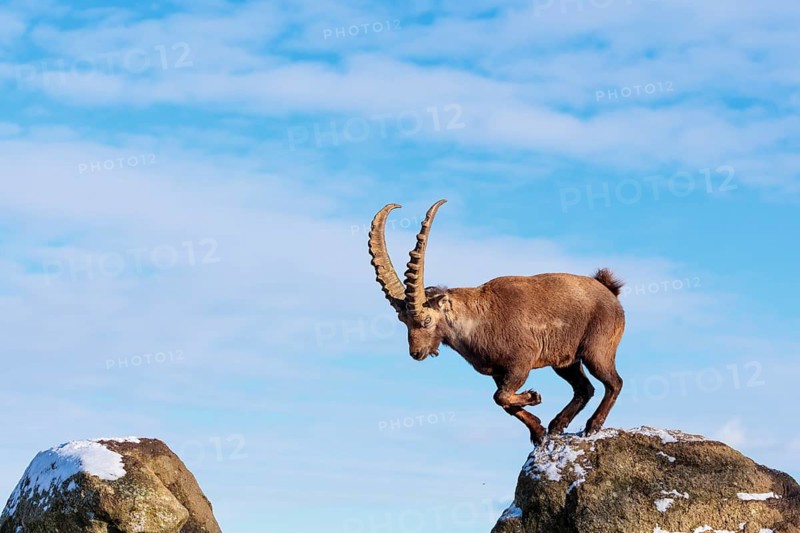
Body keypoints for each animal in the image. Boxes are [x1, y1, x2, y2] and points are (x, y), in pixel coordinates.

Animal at [368, 200, 625, 444]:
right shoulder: (498, 372)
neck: (477, 321)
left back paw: (592, 425)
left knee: (614, 382)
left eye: (427, 320)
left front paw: (533, 397)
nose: (416, 353)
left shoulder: (521, 361)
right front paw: (538, 430)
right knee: (584, 388)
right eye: (403, 321)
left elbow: (500, 397)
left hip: (596, 349)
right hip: (566, 360)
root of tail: (611, 293)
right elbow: (504, 404)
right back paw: (557, 425)